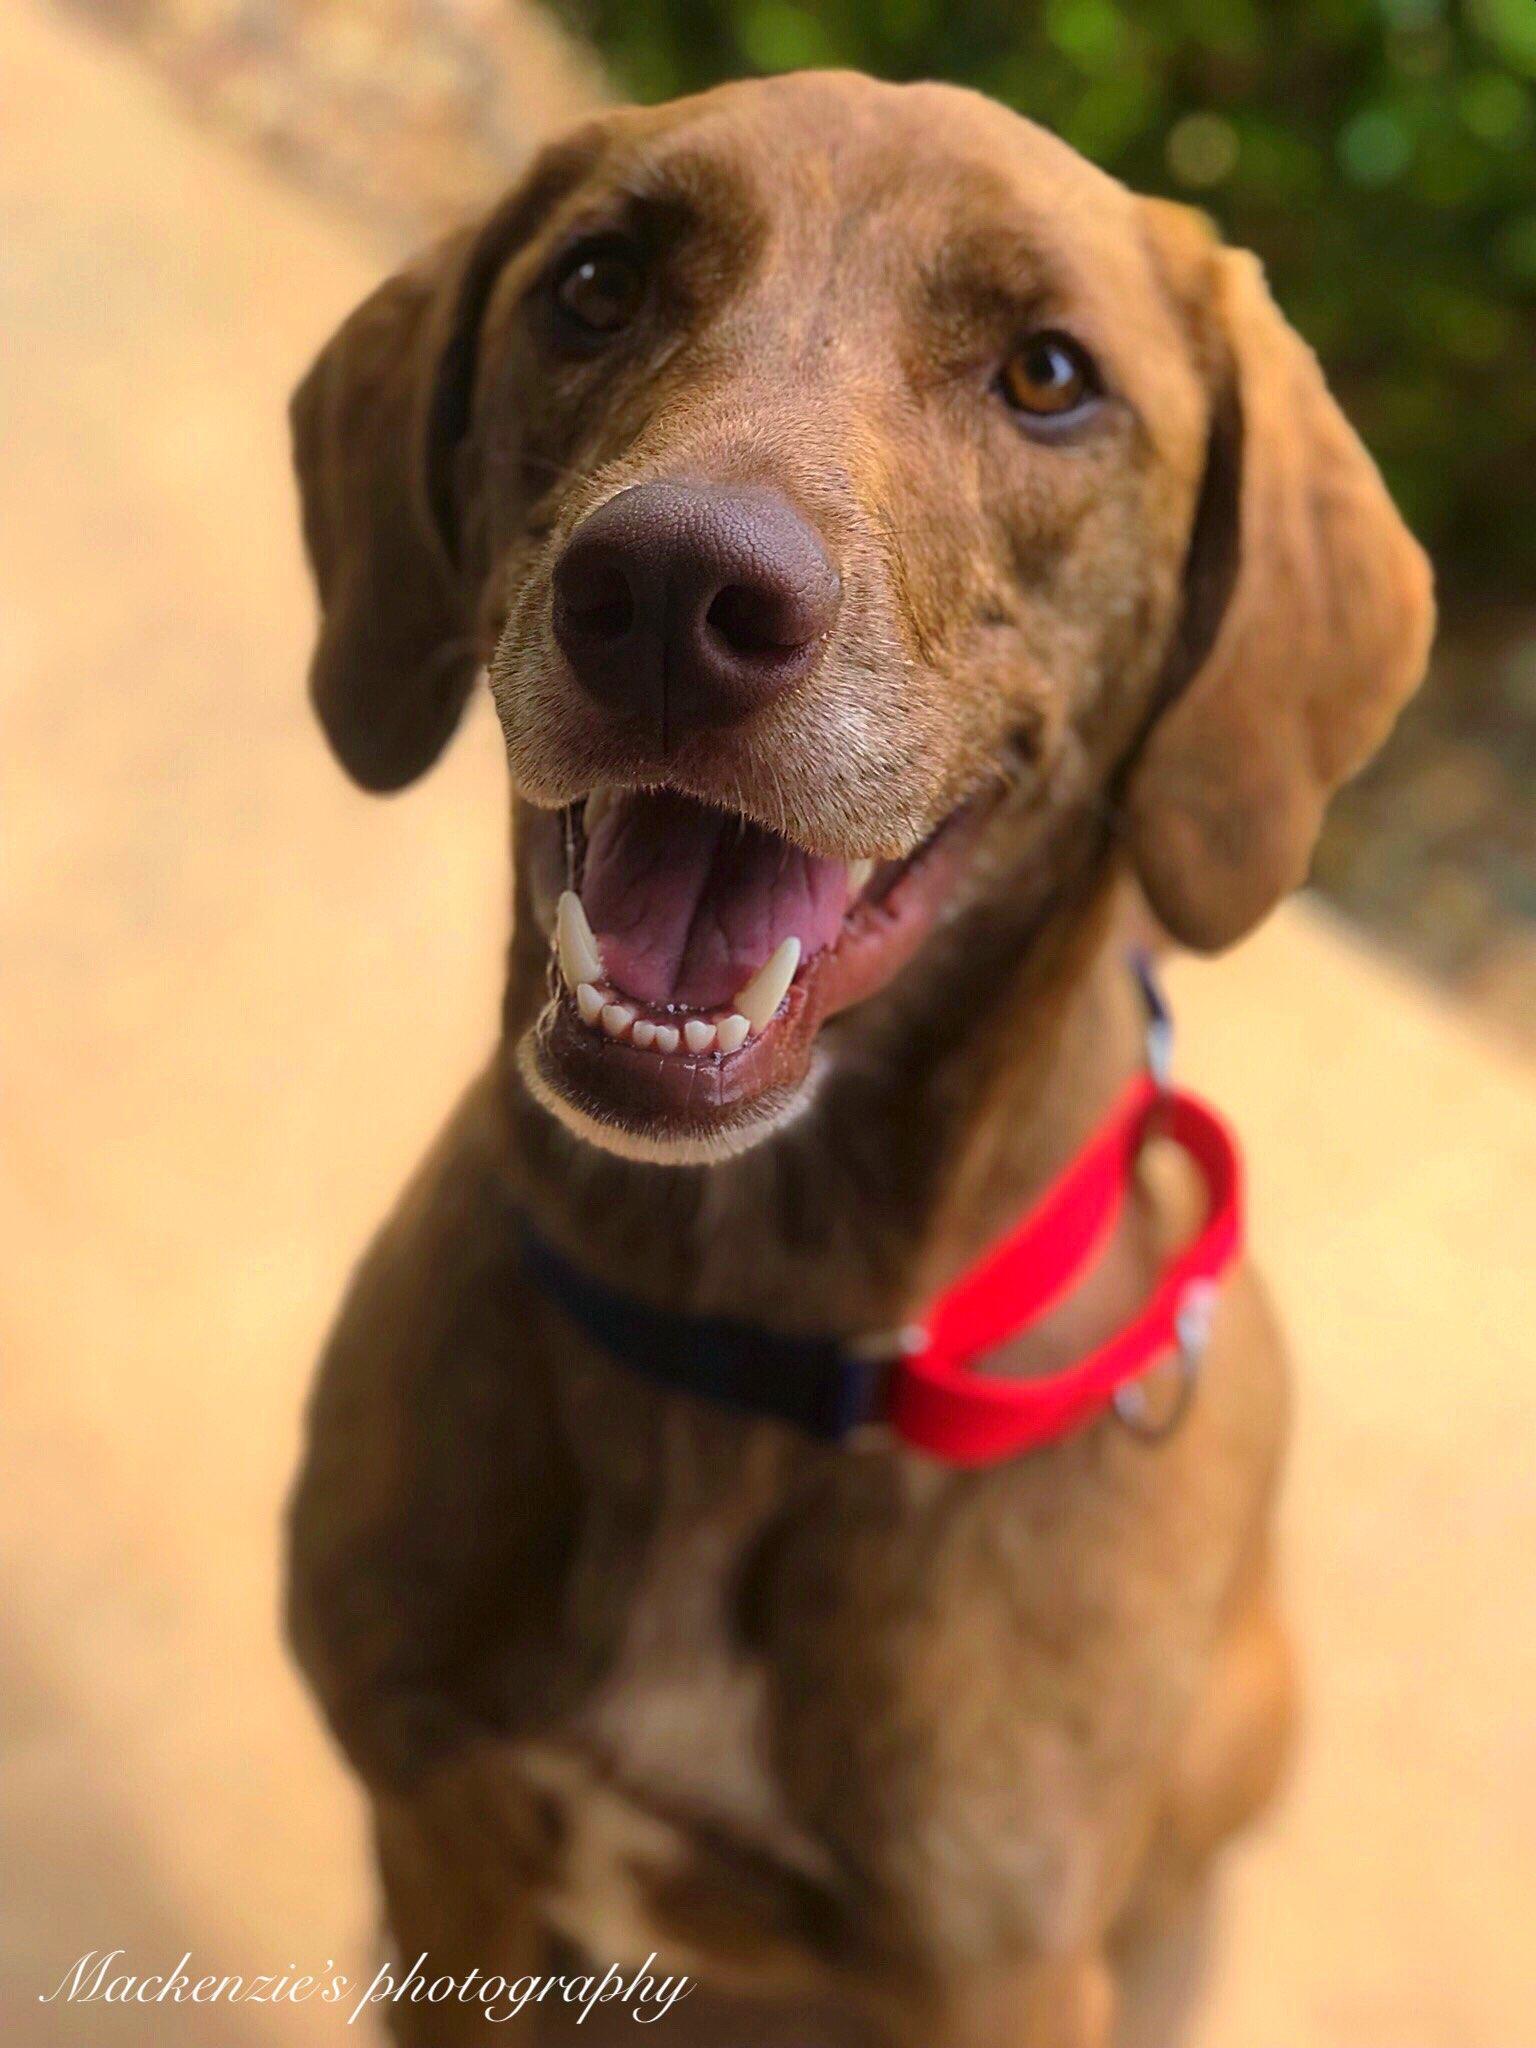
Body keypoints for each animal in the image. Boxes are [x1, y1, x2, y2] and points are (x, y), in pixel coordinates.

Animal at [282, 72, 1441, 2039]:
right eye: (596, 282)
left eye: (1049, 374)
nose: (672, 596)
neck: (742, 1339)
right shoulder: (435, 1829)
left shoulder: (994, 1979)